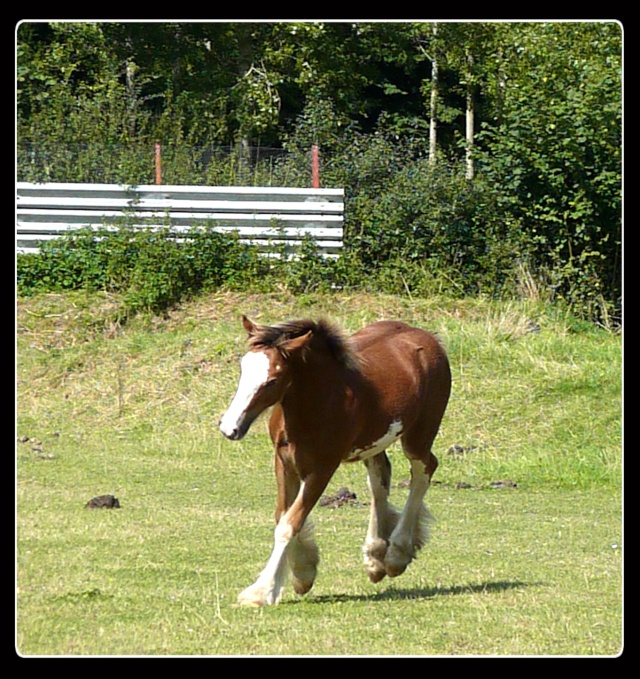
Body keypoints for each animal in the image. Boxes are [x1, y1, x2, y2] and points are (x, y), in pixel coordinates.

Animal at [219, 316, 450, 608]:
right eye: (243, 368)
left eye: (272, 381)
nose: (230, 427)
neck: (316, 402)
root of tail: (428, 338)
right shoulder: (283, 461)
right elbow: (283, 515)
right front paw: (302, 571)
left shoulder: (323, 467)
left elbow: (290, 523)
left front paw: (262, 591)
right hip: (373, 442)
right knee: (380, 478)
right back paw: (375, 558)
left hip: (419, 434)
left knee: (423, 471)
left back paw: (396, 553)